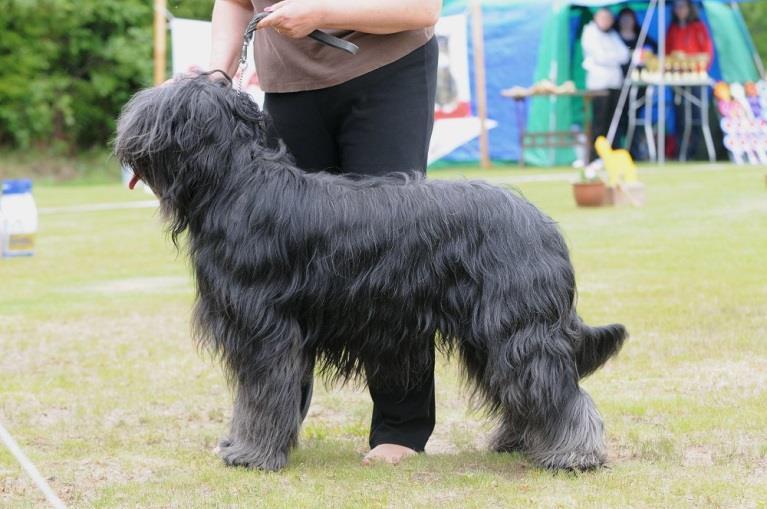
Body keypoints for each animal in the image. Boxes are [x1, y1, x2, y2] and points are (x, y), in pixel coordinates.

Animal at [115, 73, 632, 470]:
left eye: (151, 110)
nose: (123, 140)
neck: (237, 183)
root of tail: (541, 223)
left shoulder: (265, 329)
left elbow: (260, 397)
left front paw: (251, 454)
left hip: (517, 325)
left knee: (554, 387)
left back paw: (573, 454)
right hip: (491, 333)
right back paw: (520, 442)